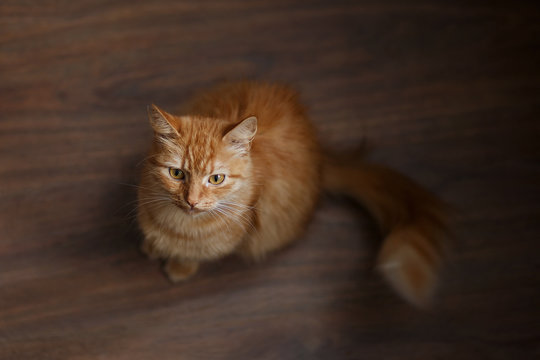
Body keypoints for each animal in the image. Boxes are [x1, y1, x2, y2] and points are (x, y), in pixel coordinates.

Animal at [137, 81, 450, 306]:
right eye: (177, 174)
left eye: (216, 179)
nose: (191, 201)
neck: (178, 223)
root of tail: (321, 156)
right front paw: (154, 246)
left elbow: (195, 254)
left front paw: (180, 266)